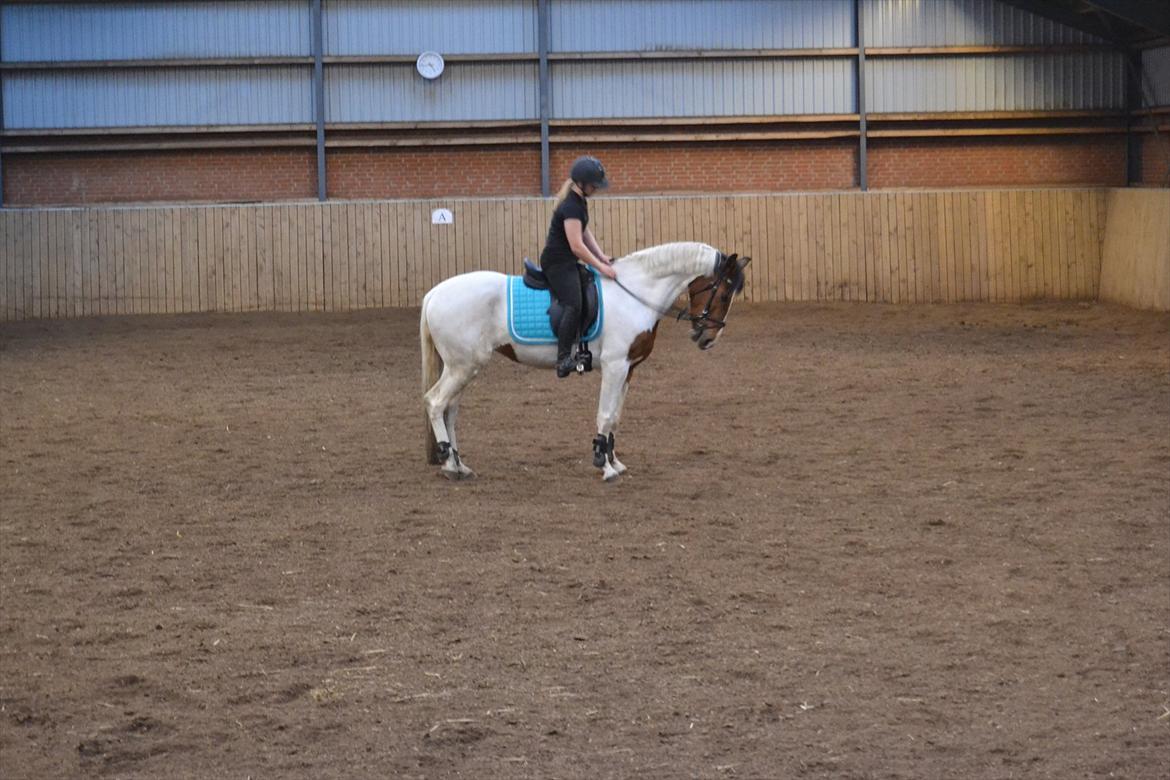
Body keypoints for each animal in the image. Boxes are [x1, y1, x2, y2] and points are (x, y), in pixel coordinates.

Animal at [420, 241, 749, 481]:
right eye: (722, 294)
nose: (708, 339)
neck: (635, 294)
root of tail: (434, 293)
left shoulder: (628, 369)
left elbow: (615, 416)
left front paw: (615, 460)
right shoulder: (615, 366)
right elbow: (604, 414)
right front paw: (604, 466)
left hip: (464, 367)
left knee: (450, 411)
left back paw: (458, 464)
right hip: (463, 367)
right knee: (435, 403)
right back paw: (449, 464)